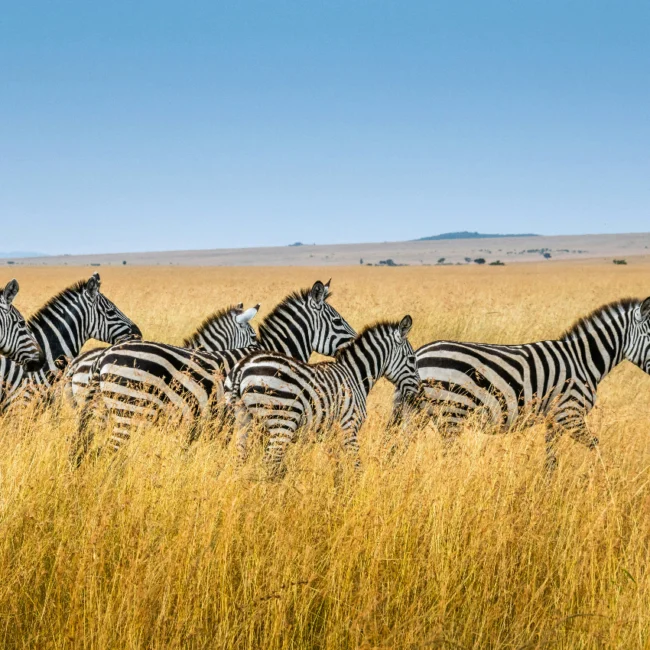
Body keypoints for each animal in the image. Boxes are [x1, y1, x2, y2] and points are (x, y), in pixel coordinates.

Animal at [226, 316, 419, 476]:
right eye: (411, 359)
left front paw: (337, 489)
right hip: (282, 421)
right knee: (269, 463)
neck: (355, 376)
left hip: (244, 419)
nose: (418, 392)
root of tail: (242, 366)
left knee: (240, 460)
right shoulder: (349, 427)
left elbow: (338, 467)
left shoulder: (333, 433)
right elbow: (356, 465)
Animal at [392, 297, 650, 471]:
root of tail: (419, 354)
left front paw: (548, 489)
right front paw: (605, 481)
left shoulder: (554, 418)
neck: (583, 360)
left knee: (398, 448)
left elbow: (551, 458)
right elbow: (596, 446)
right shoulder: (570, 413)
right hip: (451, 414)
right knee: (448, 457)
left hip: (416, 414)